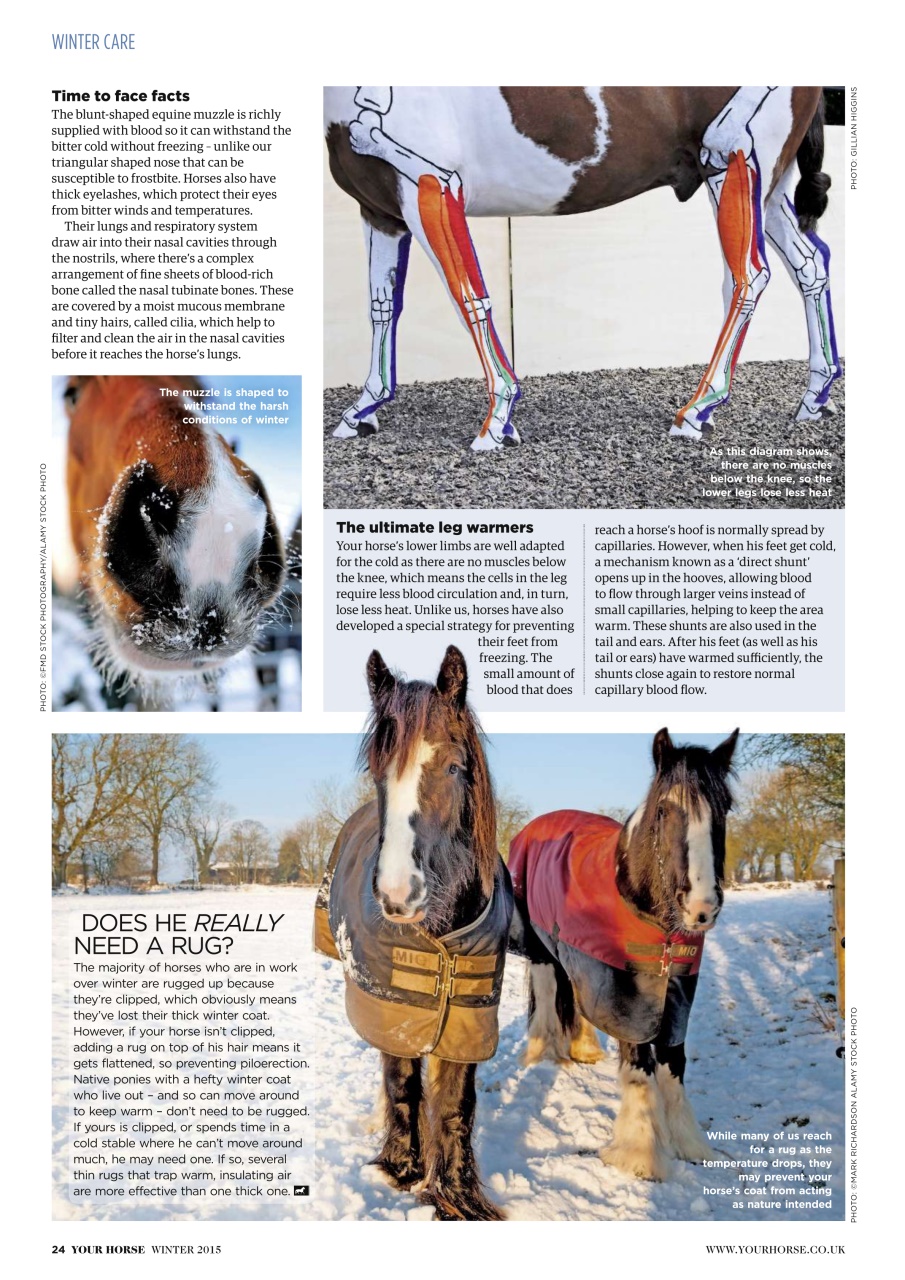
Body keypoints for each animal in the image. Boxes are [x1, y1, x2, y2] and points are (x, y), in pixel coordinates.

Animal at [314, 646, 513, 1220]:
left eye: (454, 766)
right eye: (376, 770)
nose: (398, 893)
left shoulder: (470, 1014)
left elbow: (454, 1103)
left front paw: (455, 1197)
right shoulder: (393, 1007)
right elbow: (402, 1083)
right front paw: (401, 1169)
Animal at [325, 86, 839, 450]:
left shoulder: (429, 186)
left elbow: (467, 296)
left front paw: (498, 421)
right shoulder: (381, 213)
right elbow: (382, 306)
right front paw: (363, 408)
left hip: (732, 168)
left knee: (747, 275)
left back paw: (696, 411)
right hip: (768, 190)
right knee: (809, 263)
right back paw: (814, 398)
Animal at [508, 727, 738, 1182]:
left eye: (726, 807)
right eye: (664, 810)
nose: (702, 907)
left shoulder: (677, 991)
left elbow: (674, 1062)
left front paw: (690, 1145)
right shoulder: (627, 996)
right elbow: (639, 1064)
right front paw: (639, 1154)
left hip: (576, 954)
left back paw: (583, 1049)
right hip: (542, 948)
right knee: (547, 995)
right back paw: (542, 1055)